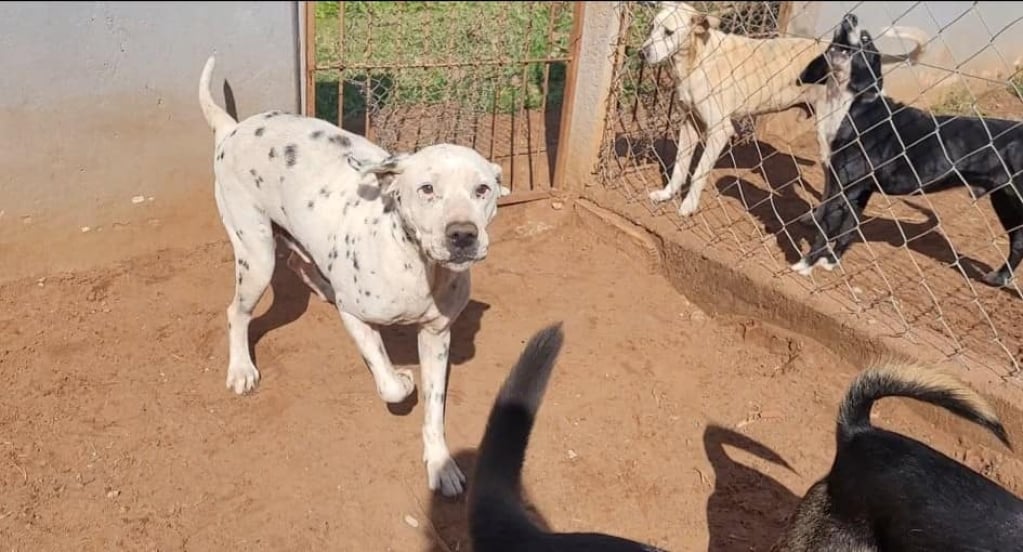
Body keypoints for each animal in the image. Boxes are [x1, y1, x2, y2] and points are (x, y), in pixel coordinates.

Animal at [198, 54, 507, 496]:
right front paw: (403, 380)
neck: (418, 266)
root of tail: (232, 129)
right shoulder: (356, 317)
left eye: (483, 190)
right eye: (427, 189)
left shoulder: (436, 335)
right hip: (256, 257)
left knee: (299, 263)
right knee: (236, 312)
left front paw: (440, 462)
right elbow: (390, 382)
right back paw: (241, 368)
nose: (463, 234)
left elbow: (434, 411)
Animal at [638, 1, 928, 217]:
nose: (642, 53)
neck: (696, 58)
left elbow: (698, 172)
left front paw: (688, 206)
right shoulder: (690, 124)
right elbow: (679, 166)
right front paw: (667, 194)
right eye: (652, 27)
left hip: (830, 137)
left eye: (668, 32)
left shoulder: (720, 130)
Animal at [789, 15, 1023, 288]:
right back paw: (999, 277)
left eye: (866, 38)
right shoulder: (859, 190)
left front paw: (805, 265)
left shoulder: (844, 187)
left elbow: (826, 229)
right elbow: (848, 228)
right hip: (1004, 201)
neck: (849, 106)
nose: (850, 17)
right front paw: (831, 261)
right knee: (1017, 242)